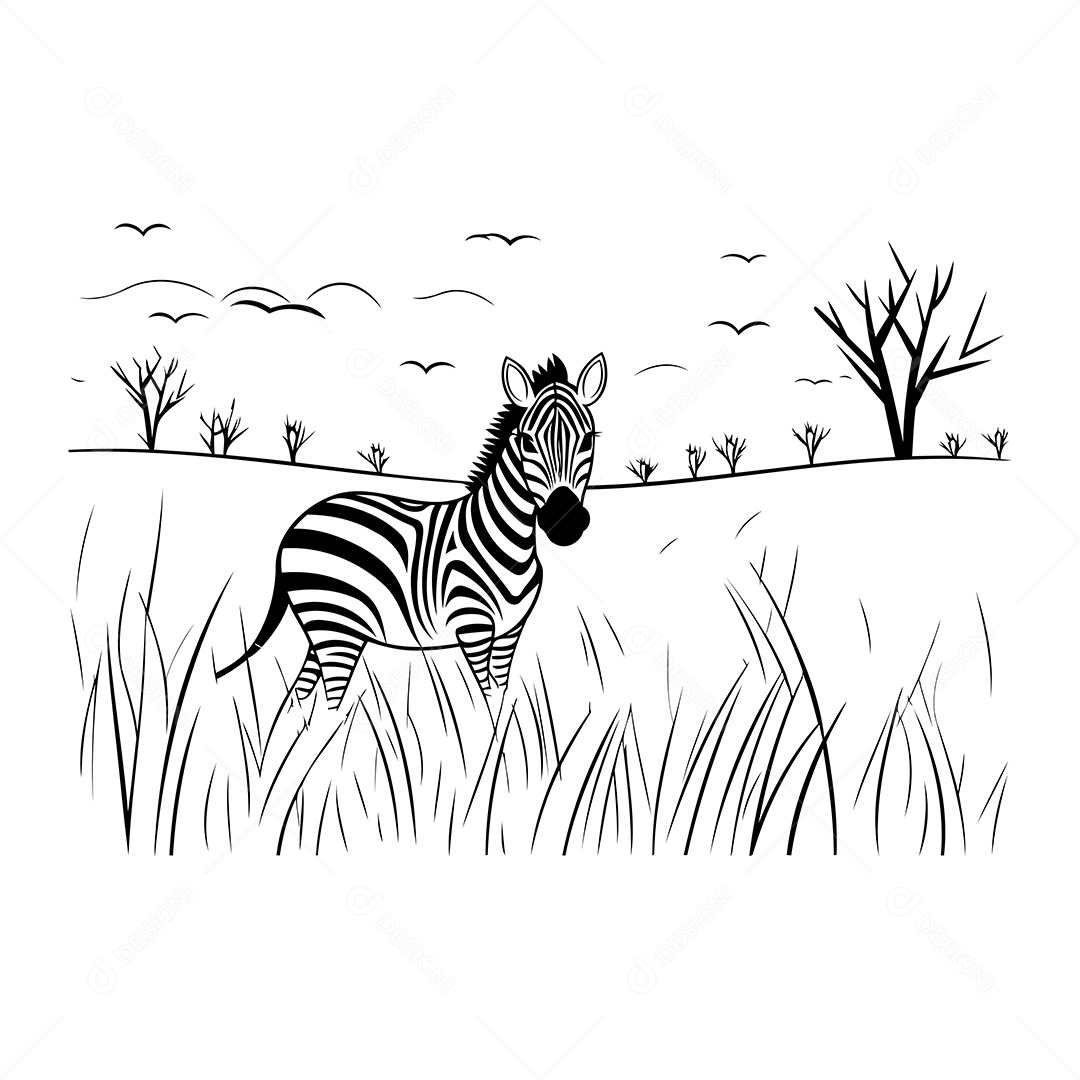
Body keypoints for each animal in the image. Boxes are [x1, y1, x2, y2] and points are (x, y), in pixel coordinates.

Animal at [215, 352, 608, 710]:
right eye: (527, 442)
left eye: (588, 439)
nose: (566, 522)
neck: (511, 544)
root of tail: (297, 524)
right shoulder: (473, 627)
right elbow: (484, 703)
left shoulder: (510, 632)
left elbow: (499, 697)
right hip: (333, 622)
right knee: (330, 702)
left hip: (326, 626)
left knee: (299, 698)